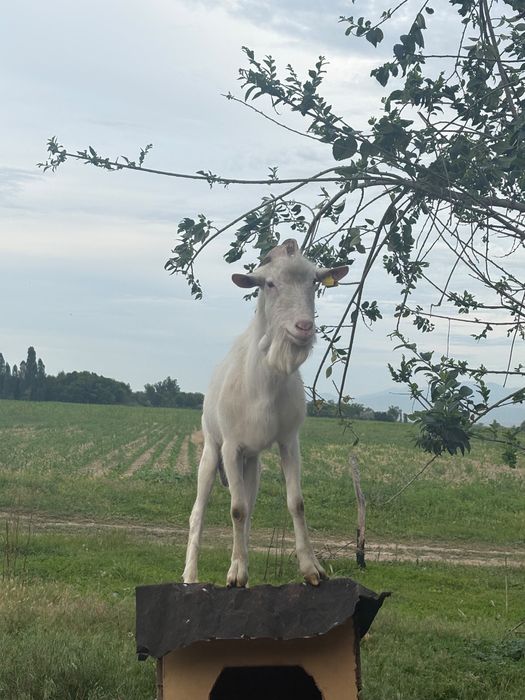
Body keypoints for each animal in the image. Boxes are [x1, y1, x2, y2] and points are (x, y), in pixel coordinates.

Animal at [183, 239, 348, 587]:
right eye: (269, 283)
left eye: (315, 282)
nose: (304, 327)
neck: (264, 385)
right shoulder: (231, 446)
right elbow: (235, 510)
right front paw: (235, 574)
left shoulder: (289, 441)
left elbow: (295, 503)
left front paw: (311, 569)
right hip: (212, 450)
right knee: (199, 511)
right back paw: (190, 575)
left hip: (252, 462)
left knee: (248, 508)